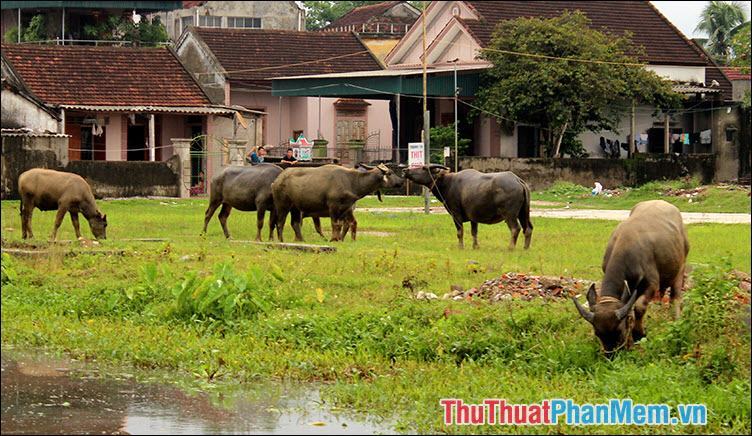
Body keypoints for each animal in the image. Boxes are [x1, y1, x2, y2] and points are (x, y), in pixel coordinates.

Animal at [274, 164, 402, 242]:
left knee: (294, 223)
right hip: (282, 205)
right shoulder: (333, 207)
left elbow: (344, 224)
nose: (401, 181)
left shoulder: (346, 209)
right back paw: (281, 240)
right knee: (280, 223)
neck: (352, 181)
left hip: (295, 208)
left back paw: (301, 240)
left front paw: (343, 239)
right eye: (390, 173)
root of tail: (277, 180)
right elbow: (334, 224)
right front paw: (333, 239)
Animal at [402, 165, 532, 250]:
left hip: (510, 214)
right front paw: (475, 246)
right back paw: (525, 247)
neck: (448, 183)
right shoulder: (473, 217)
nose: (405, 170)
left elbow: (460, 232)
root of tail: (518, 180)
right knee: (528, 228)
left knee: (515, 228)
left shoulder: (456, 214)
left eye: (424, 168)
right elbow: (474, 232)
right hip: (524, 212)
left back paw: (510, 247)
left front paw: (461, 246)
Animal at [572, 199, 692, 356]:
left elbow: (639, 307)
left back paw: (676, 319)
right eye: (597, 333)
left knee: (675, 296)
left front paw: (639, 334)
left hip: (680, 267)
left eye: (619, 330)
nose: (611, 356)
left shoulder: (651, 284)